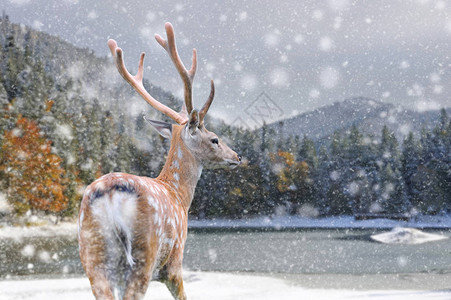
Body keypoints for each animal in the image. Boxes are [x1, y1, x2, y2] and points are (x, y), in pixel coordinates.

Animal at [78, 21, 240, 300]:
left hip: (92, 255)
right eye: (215, 139)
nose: (237, 157)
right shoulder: (174, 262)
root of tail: (110, 195)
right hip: (145, 253)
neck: (179, 196)